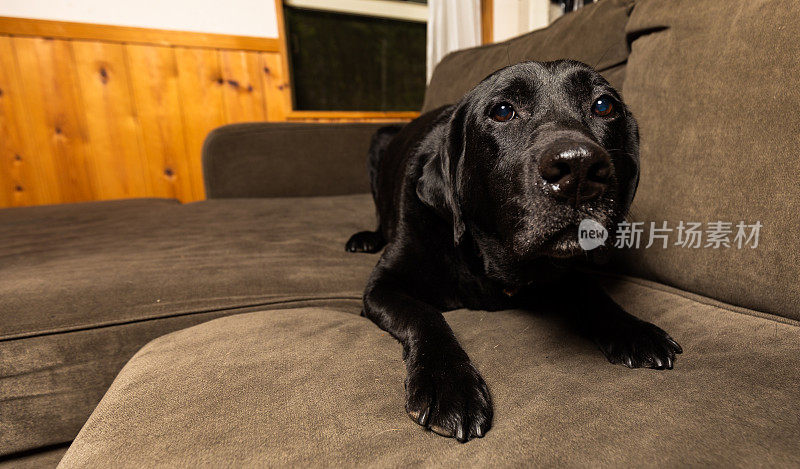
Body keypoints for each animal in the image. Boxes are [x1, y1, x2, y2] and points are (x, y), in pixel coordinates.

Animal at [344, 61, 680, 442]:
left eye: (604, 105)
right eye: (503, 111)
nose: (579, 168)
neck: (491, 262)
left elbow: (589, 288)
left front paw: (632, 329)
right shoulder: (382, 286)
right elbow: (425, 315)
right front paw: (449, 385)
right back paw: (366, 238)